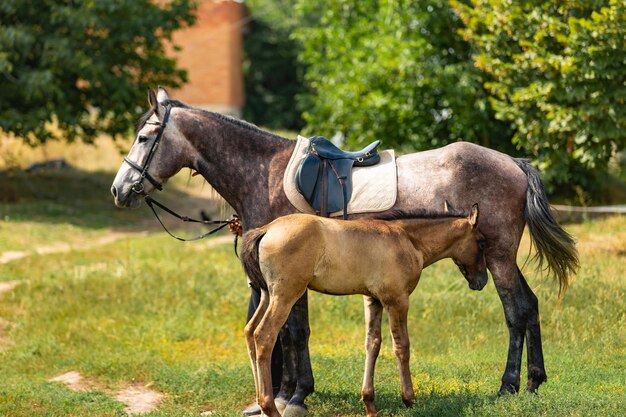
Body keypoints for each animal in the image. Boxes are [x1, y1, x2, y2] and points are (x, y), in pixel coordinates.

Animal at [111, 86, 576, 414]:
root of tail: (514, 163)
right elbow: (289, 332)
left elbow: (293, 332)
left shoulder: (291, 283)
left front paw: (294, 396)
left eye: (144, 137)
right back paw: (534, 381)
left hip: (497, 257)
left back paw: (509, 386)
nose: (120, 189)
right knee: (530, 305)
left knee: (516, 311)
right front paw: (288, 392)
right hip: (502, 258)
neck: (264, 171)